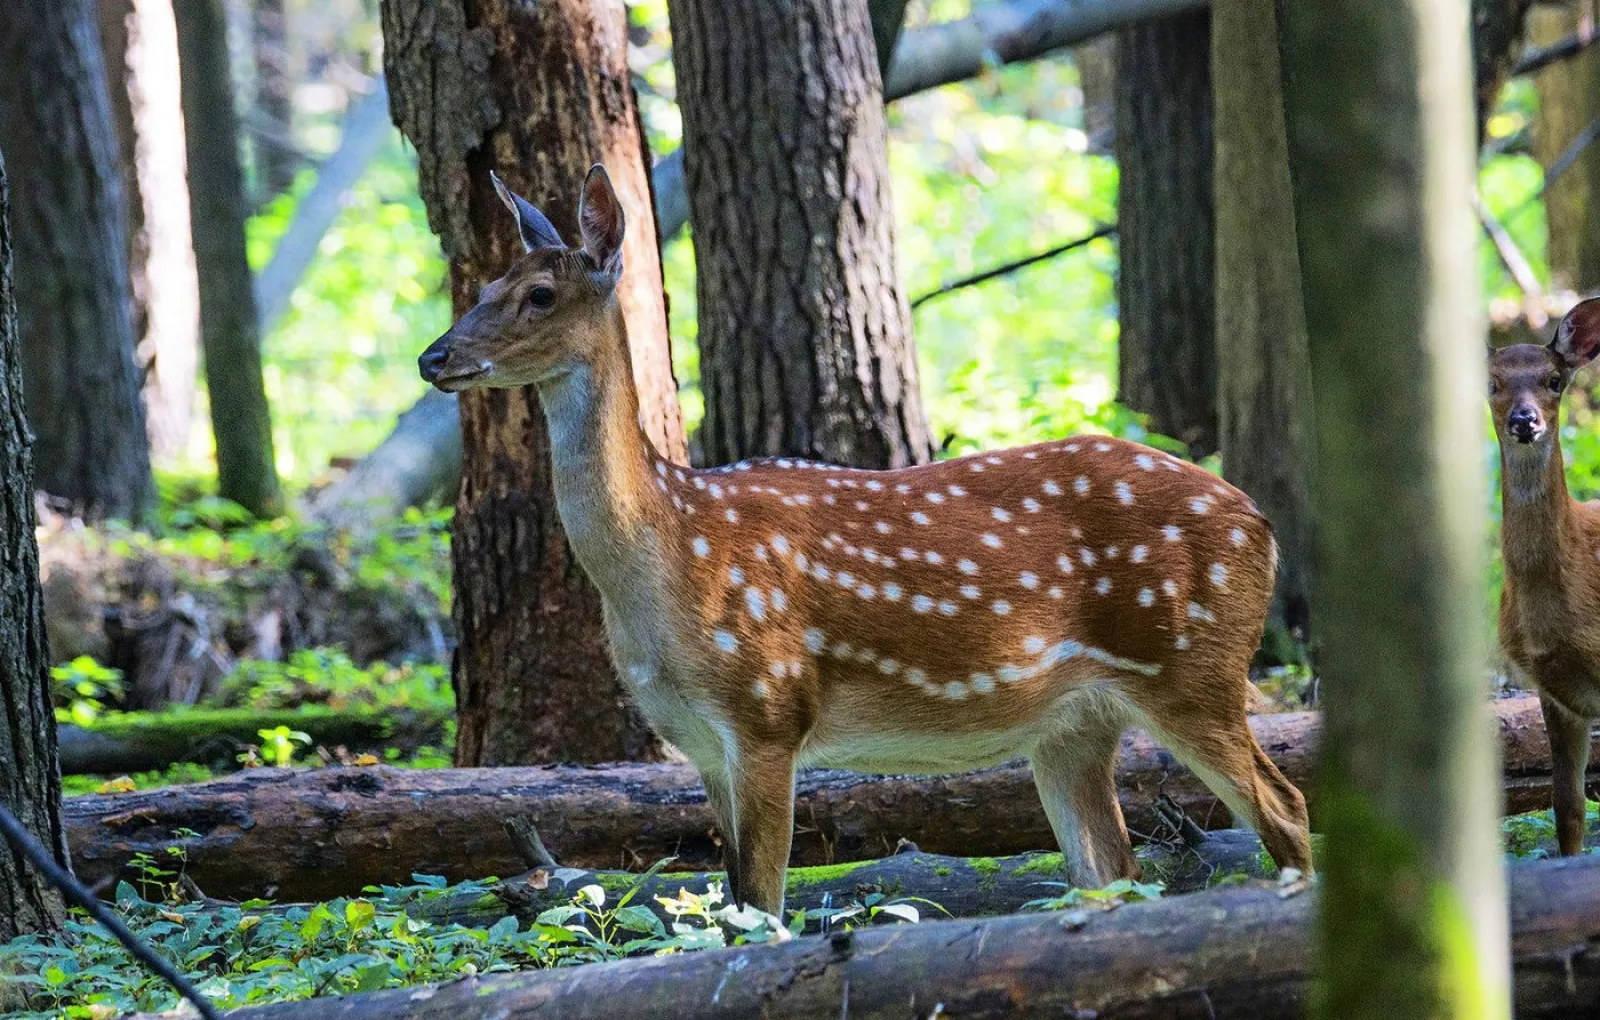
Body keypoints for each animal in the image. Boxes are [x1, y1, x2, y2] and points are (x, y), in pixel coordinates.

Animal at [412, 163, 1312, 914]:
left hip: (1192, 666)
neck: (670, 551)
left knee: (1287, 808)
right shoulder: (700, 745)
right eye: (484, 282)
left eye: (537, 293)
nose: (434, 357)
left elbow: (762, 912)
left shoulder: (769, 709)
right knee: (1113, 875)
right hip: (1073, 726)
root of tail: (1260, 524)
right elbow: (732, 908)